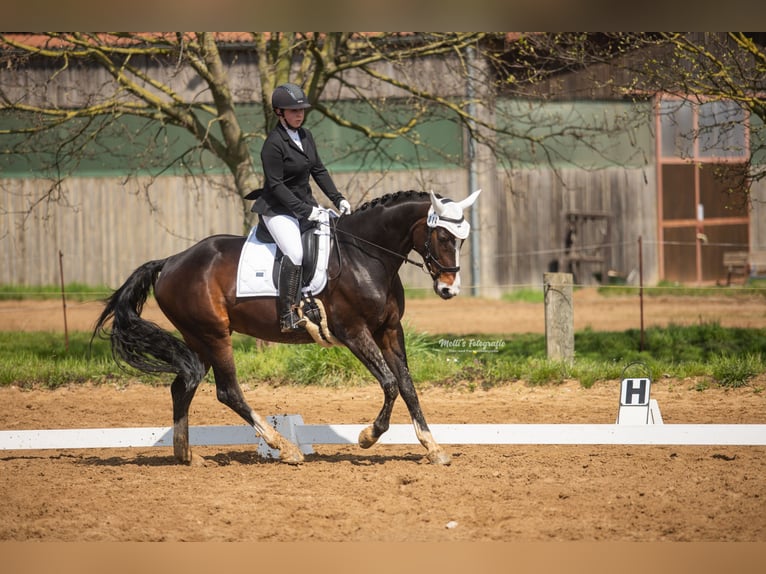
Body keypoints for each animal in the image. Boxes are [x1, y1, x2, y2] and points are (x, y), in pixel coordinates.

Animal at [93, 189, 484, 468]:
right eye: (443, 238)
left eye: (461, 240)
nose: (449, 290)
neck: (365, 256)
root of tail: (172, 261)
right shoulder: (354, 332)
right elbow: (389, 383)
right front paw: (367, 436)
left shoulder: (389, 330)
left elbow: (406, 385)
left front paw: (434, 447)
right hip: (213, 335)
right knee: (227, 391)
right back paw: (284, 447)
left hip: (199, 339)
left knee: (183, 386)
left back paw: (187, 455)